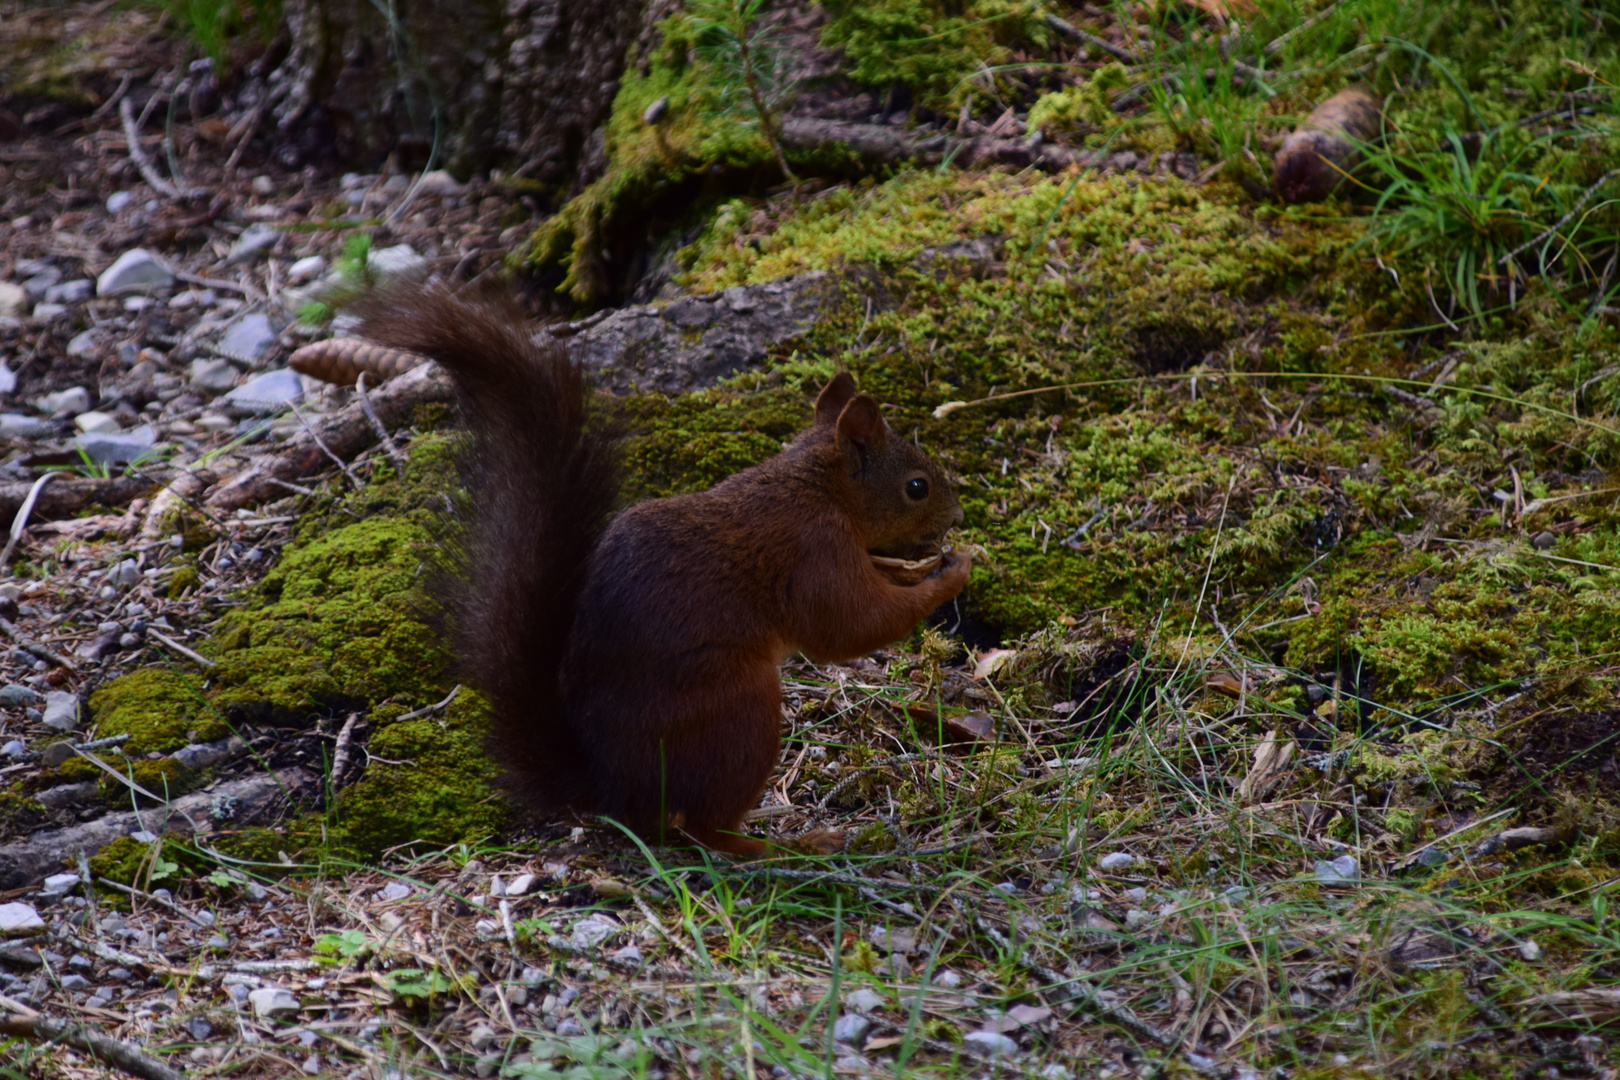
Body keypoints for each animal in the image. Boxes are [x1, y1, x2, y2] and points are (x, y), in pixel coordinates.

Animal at [358, 283, 959, 854]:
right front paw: (952, 574)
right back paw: (785, 845)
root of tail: (615, 791)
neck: (818, 486)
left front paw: (917, 567)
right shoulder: (815, 551)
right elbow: (849, 627)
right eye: (917, 486)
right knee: (705, 829)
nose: (956, 517)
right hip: (737, 714)